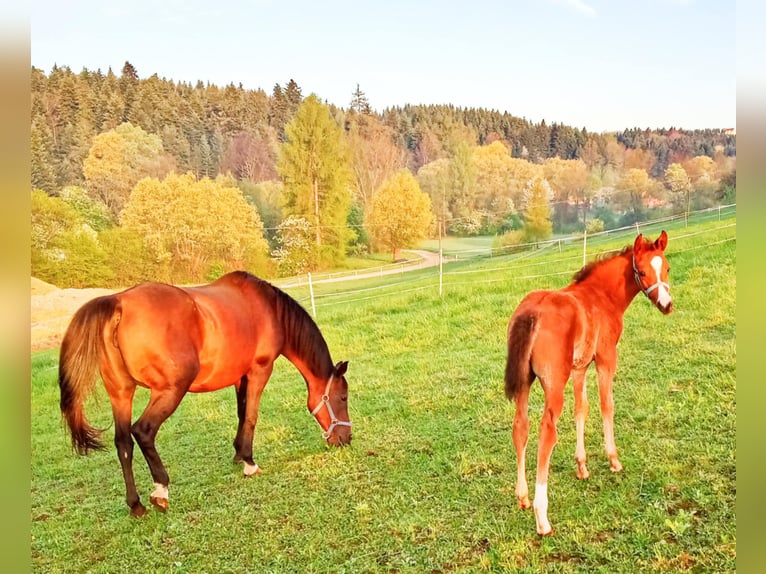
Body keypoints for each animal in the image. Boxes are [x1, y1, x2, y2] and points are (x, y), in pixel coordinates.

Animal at [60, 272, 354, 520]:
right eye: (343, 398)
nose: (346, 439)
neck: (269, 310)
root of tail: (119, 302)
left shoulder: (240, 376)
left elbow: (241, 412)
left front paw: (238, 454)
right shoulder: (260, 370)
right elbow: (252, 415)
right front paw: (249, 462)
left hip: (121, 393)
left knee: (123, 443)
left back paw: (136, 505)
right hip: (170, 390)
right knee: (143, 431)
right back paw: (160, 491)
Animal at [508, 232, 676, 536]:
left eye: (666, 268)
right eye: (643, 272)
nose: (666, 305)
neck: (602, 296)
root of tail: (532, 312)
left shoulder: (580, 367)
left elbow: (581, 409)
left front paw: (582, 466)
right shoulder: (606, 357)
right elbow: (606, 405)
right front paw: (613, 459)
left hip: (525, 382)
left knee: (521, 427)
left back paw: (523, 497)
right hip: (554, 384)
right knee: (546, 431)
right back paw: (542, 517)